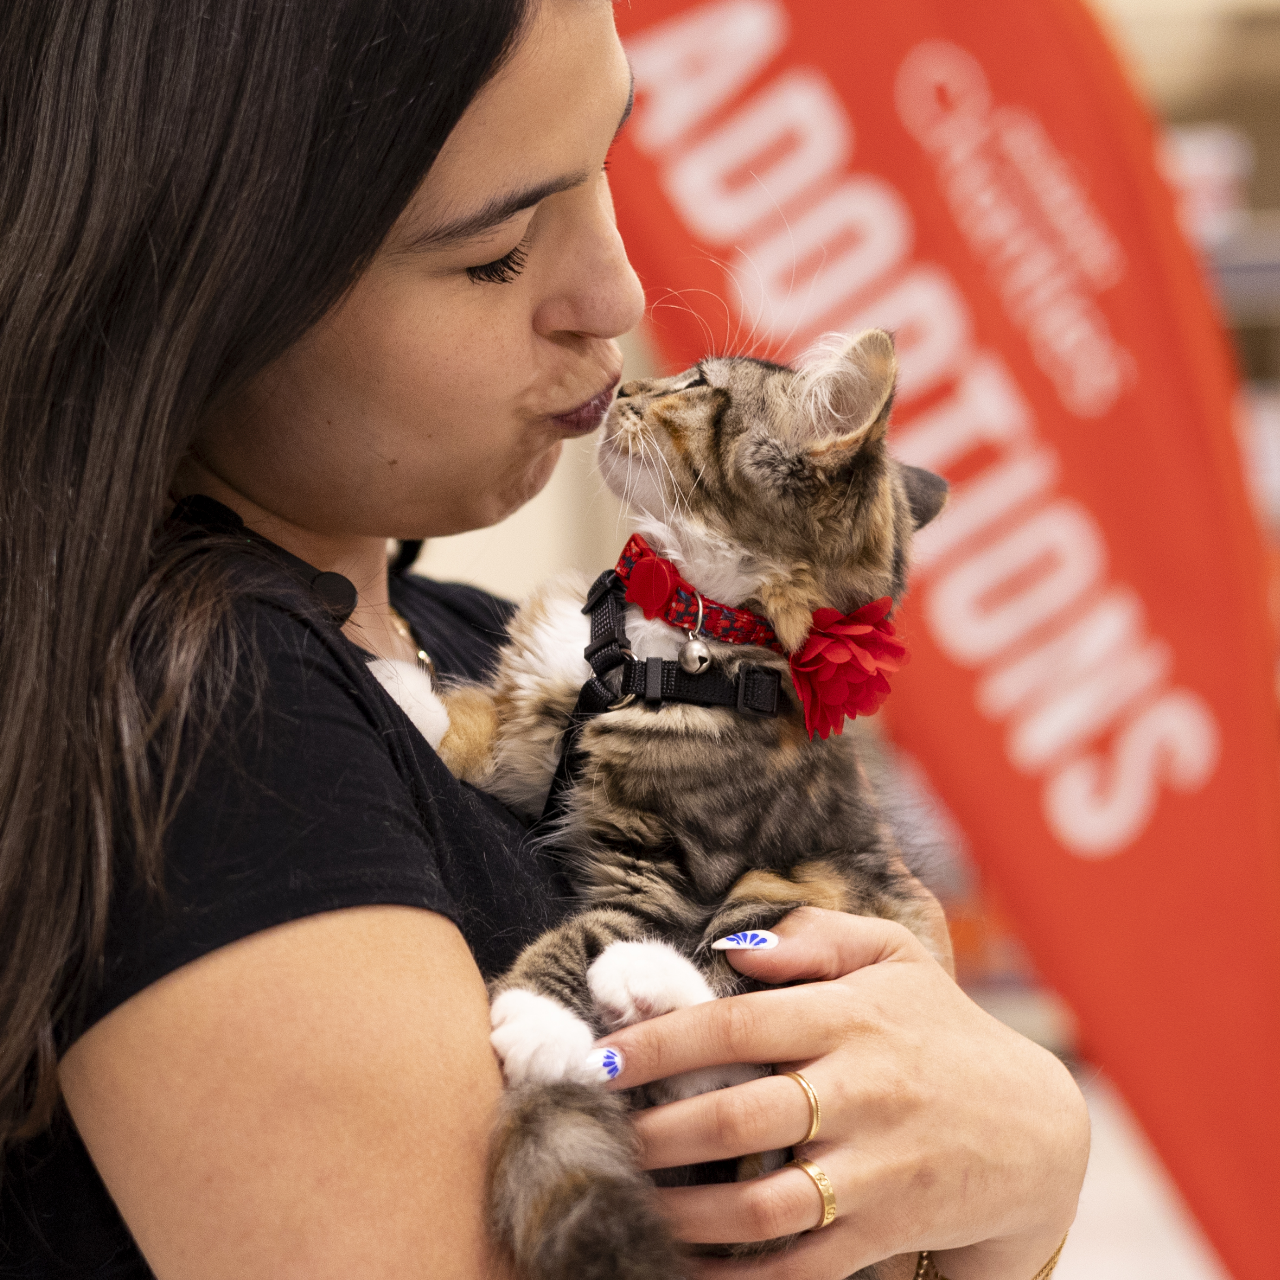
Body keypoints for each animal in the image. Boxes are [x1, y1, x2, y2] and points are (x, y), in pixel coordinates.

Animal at [440, 327, 952, 1280]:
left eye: (699, 388)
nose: (622, 389)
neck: (672, 633)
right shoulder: (557, 741)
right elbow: (503, 729)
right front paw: (401, 683)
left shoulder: (669, 872)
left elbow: (584, 933)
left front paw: (538, 1020)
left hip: (799, 893)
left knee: (726, 1062)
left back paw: (640, 987)